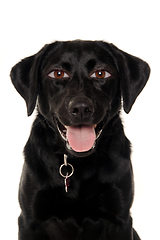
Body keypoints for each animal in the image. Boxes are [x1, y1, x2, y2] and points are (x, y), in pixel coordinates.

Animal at [10, 40, 151, 239]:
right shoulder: (30, 220)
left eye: (101, 73)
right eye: (57, 73)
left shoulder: (121, 220)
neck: (78, 164)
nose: (81, 108)